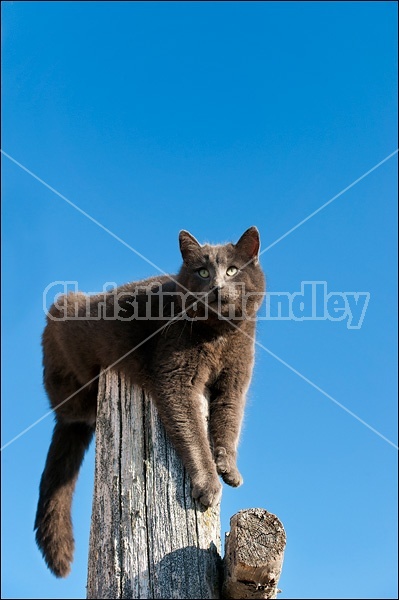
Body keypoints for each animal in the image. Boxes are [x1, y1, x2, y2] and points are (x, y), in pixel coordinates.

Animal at [34, 226, 266, 576]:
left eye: (232, 271)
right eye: (202, 272)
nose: (216, 286)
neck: (219, 336)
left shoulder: (234, 383)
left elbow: (229, 422)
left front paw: (229, 468)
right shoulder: (176, 380)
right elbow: (194, 435)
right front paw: (209, 484)